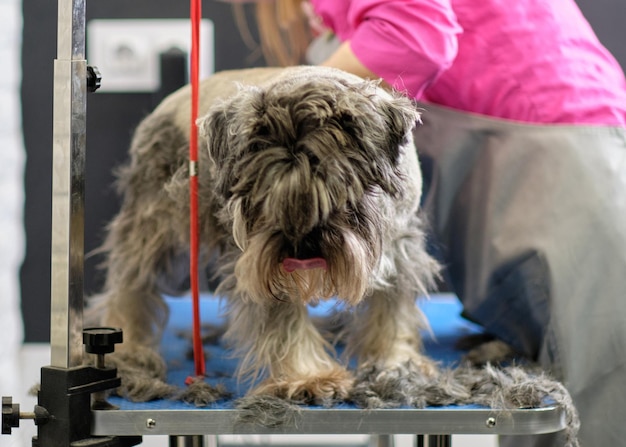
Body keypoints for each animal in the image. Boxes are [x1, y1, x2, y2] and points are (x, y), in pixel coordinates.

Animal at [89, 66, 438, 406]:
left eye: (339, 188)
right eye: (262, 195)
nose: (300, 246)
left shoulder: (401, 249)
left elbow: (392, 310)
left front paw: (395, 362)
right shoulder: (258, 268)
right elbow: (284, 321)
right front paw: (309, 376)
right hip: (153, 225)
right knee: (130, 284)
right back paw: (129, 347)